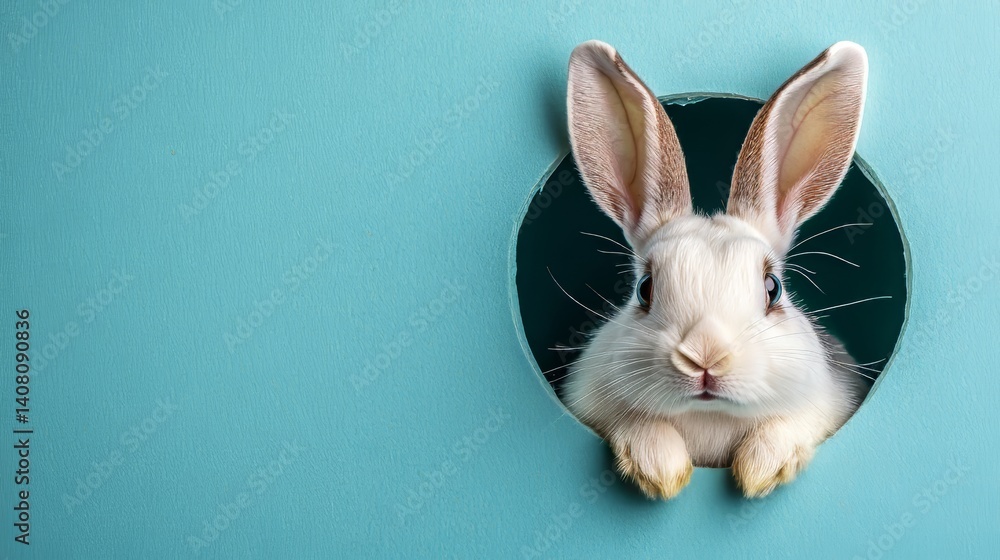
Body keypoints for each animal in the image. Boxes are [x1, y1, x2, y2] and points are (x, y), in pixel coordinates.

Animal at [562, 40, 870, 499]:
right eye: (644, 288)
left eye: (773, 288)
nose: (705, 357)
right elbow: (636, 423)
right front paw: (661, 470)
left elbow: (788, 426)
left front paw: (760, 469)